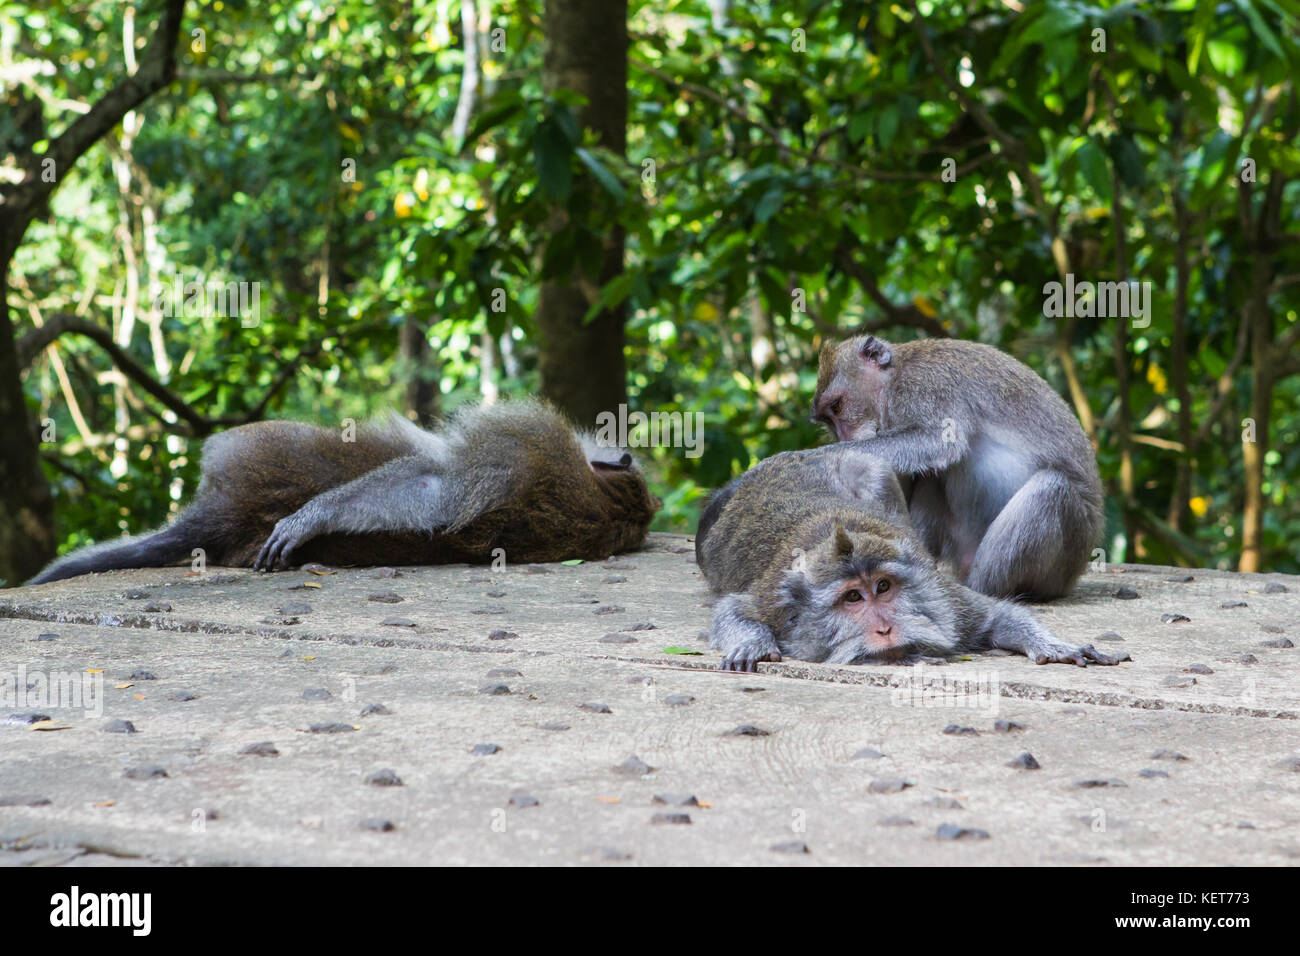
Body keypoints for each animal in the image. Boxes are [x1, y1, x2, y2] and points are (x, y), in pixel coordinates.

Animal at [27, 403, 660, 587]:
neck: (603, 506)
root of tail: (221, 514)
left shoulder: (525, 440)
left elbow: (438, 486)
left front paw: (312, 517)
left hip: (249, 447)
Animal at [691, 442, 1128, 671]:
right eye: (853, 597)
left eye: (884, 587)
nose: (886, 629)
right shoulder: (775, 606)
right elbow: (734, 610)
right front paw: (752, 643)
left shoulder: (945, 601)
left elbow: (995, 615)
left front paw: (1053, 646)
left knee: (873, 470)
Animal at [816, 335, 1102, 600]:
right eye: (828, 421)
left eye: (837, 406)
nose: (843, 438)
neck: (894, 376)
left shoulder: (923, 386)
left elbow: (939, 440)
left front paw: (816, 458)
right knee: (932, 476)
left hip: (1065, 559)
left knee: (1051, 488)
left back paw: (979, 590)